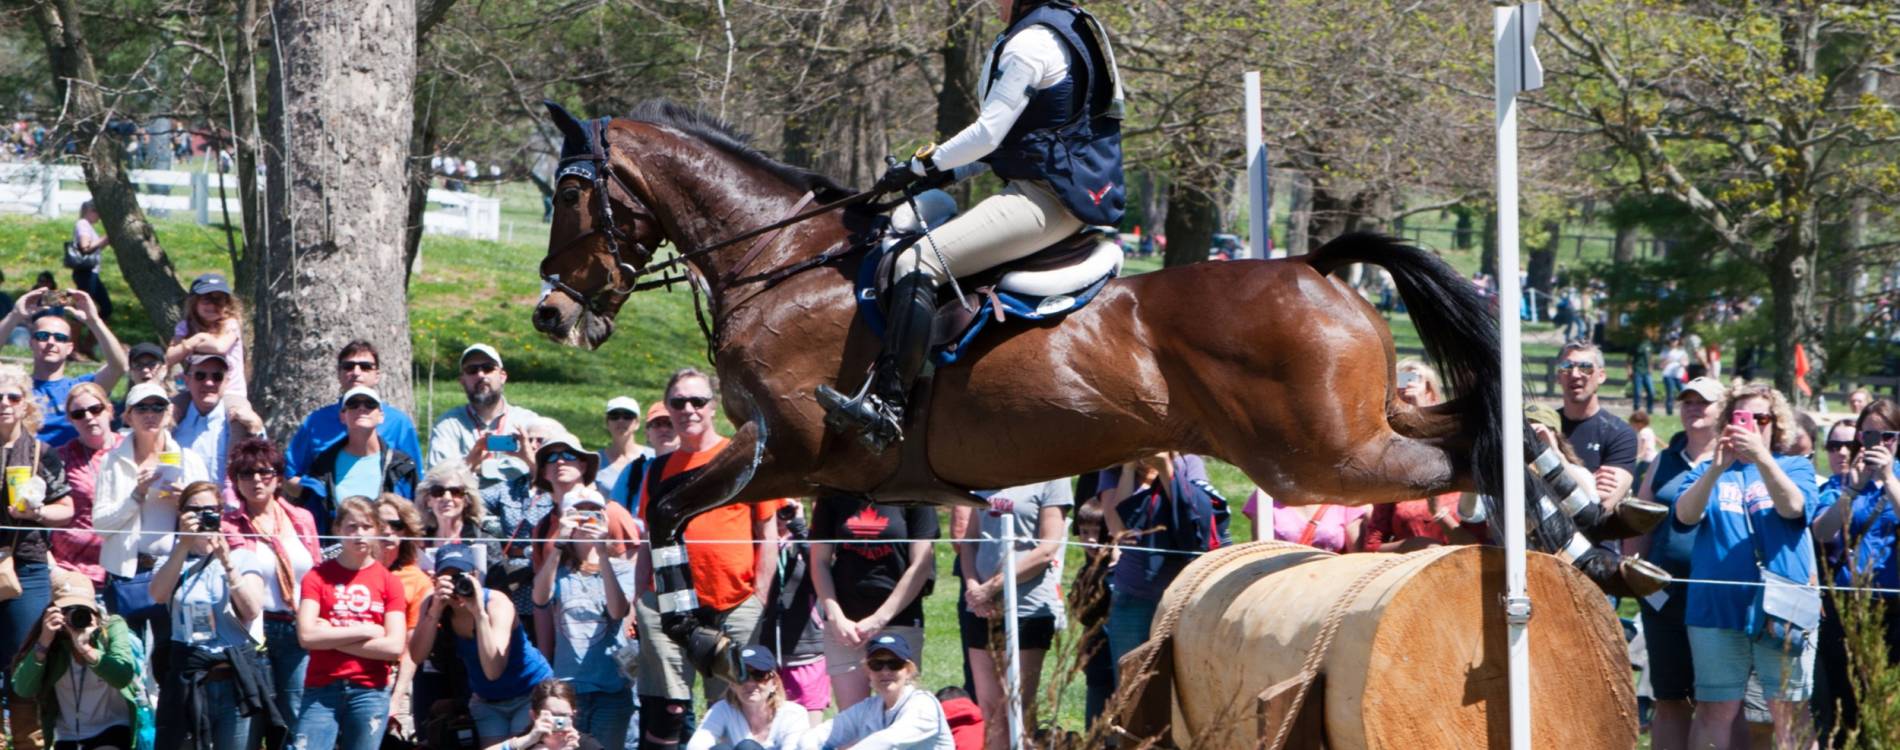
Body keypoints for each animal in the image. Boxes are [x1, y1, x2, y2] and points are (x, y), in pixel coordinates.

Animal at [529, 100, 1655, 681]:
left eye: (573, 192)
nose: (550, 313)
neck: (786, 262)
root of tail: (1318, 264)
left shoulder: (795, 449)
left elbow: (671, 503)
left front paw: (692, 628)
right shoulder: (797, 462)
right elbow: (687, 514)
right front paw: (705, 628)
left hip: (1318, 457)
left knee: (1470, 444)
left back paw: (1578, 541)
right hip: (1351, 427)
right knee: (1498, 417)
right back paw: (1602, 530)